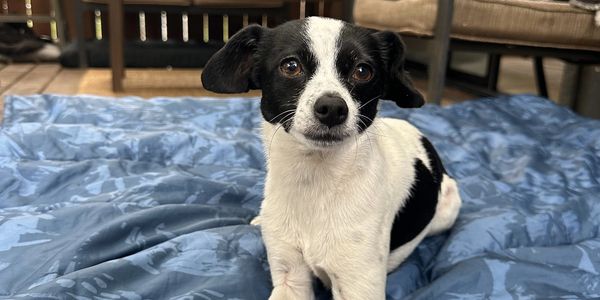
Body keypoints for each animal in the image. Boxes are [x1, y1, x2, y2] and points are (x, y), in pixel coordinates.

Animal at [200, 17, 460, 300]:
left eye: (362, 71)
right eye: (290, 66)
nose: (333, 108)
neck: (315, 180)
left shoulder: (358, 287)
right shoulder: (290, 279)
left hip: (448, 209)